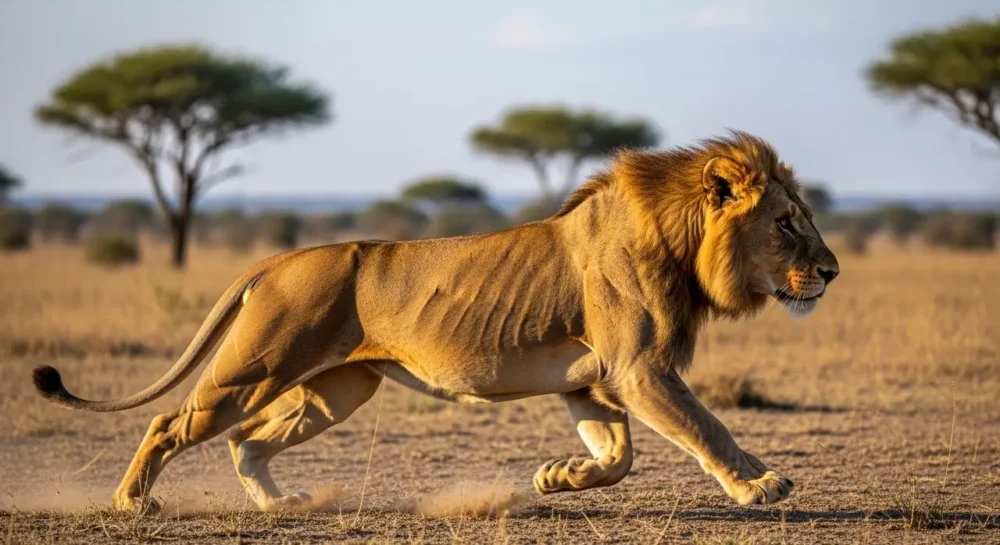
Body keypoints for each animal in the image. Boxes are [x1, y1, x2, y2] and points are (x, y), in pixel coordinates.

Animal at [33, 130, 839, 513]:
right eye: (787, 223)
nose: (832, 271)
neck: (679, 243)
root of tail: (279, 258)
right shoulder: (640, 370)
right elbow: (709, 427)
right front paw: (760, 487)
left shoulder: (593, 379)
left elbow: (618, 455)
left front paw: (559, 475)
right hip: (256, 366)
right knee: (173, 422)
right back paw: (131, 502)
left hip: (340, 388)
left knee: (246, 440)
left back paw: (280, 503)